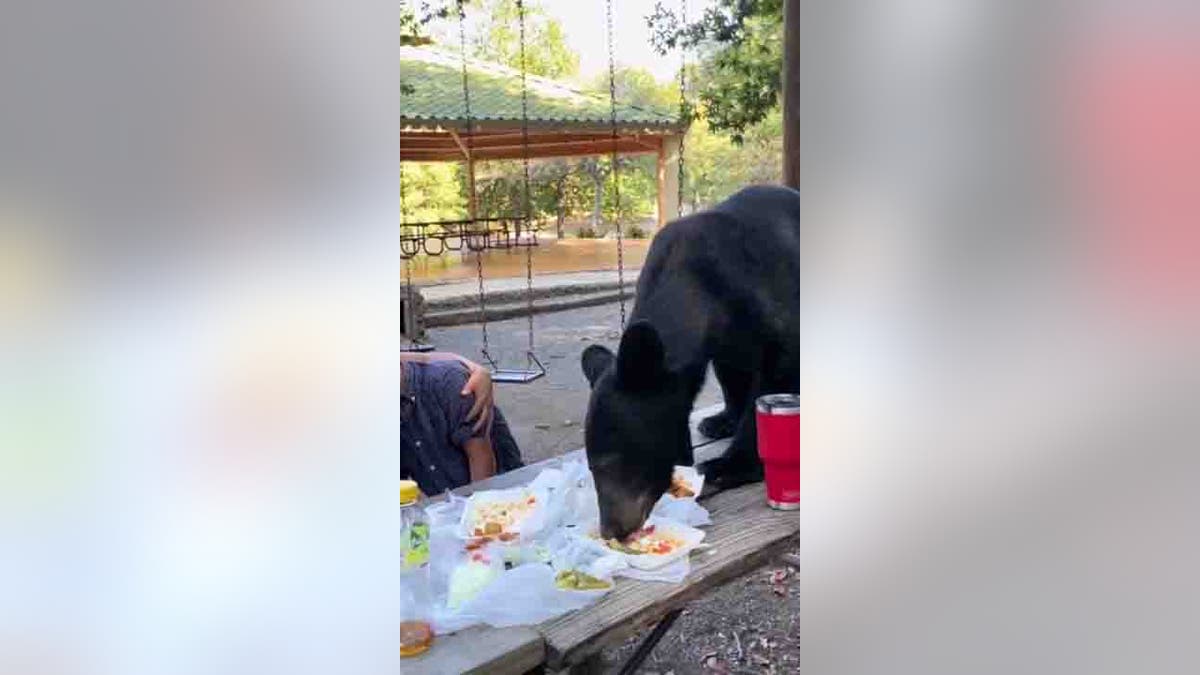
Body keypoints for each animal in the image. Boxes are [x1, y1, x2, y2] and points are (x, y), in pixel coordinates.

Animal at [578, 182, 796, 535]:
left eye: (612, 461)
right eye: (590, 466)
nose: (611, 529)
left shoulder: (772, 300)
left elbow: (776, 376)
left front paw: (727, 465)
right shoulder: (726, 338)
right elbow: (730, 372)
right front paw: (723, 420)